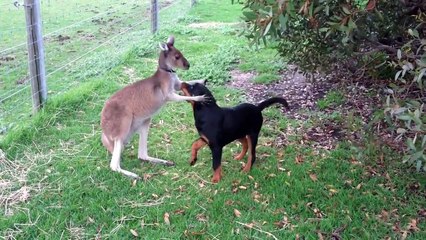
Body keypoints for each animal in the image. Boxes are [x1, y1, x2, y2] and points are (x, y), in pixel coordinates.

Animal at [100, 35, 206, 178]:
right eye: (177, 57)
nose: (188, 66)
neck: (168, 72)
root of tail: (104, 130)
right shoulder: (168, 94)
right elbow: (180, 96)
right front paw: (199, 98)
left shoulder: (177, 84)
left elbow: (186, 82)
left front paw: (203, 79)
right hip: (122, 124)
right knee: (113, 164)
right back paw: (134, 175)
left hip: (144, 122)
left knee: (142, 155)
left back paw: (165, 162)